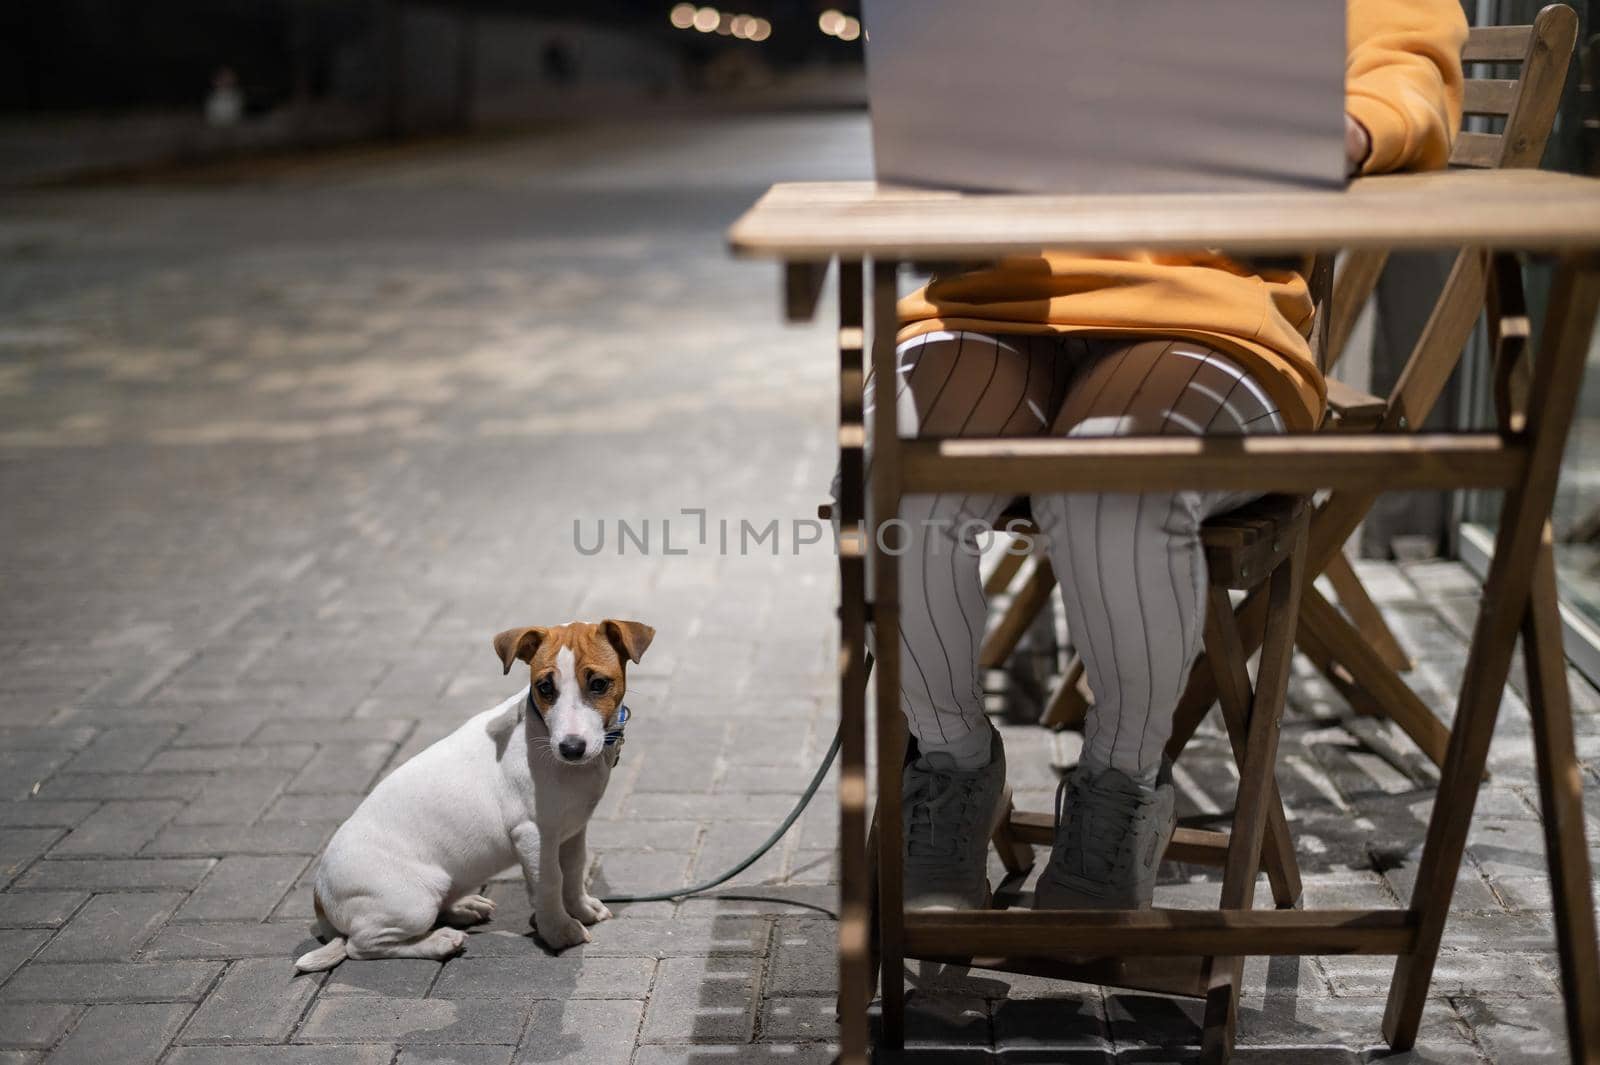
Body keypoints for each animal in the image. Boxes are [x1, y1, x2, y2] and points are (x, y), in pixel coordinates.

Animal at [297, 614, 652, 972]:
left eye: (599, 684)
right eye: (545, 688)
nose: (571, 748)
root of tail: (319, 897)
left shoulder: (573, 826)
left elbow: (574, 870)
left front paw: (581, 909)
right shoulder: (533, 834)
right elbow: (550, 881)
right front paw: (560, 931)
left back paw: (464, 908)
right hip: (411, 901)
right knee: (362, 945)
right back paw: (439, 941)